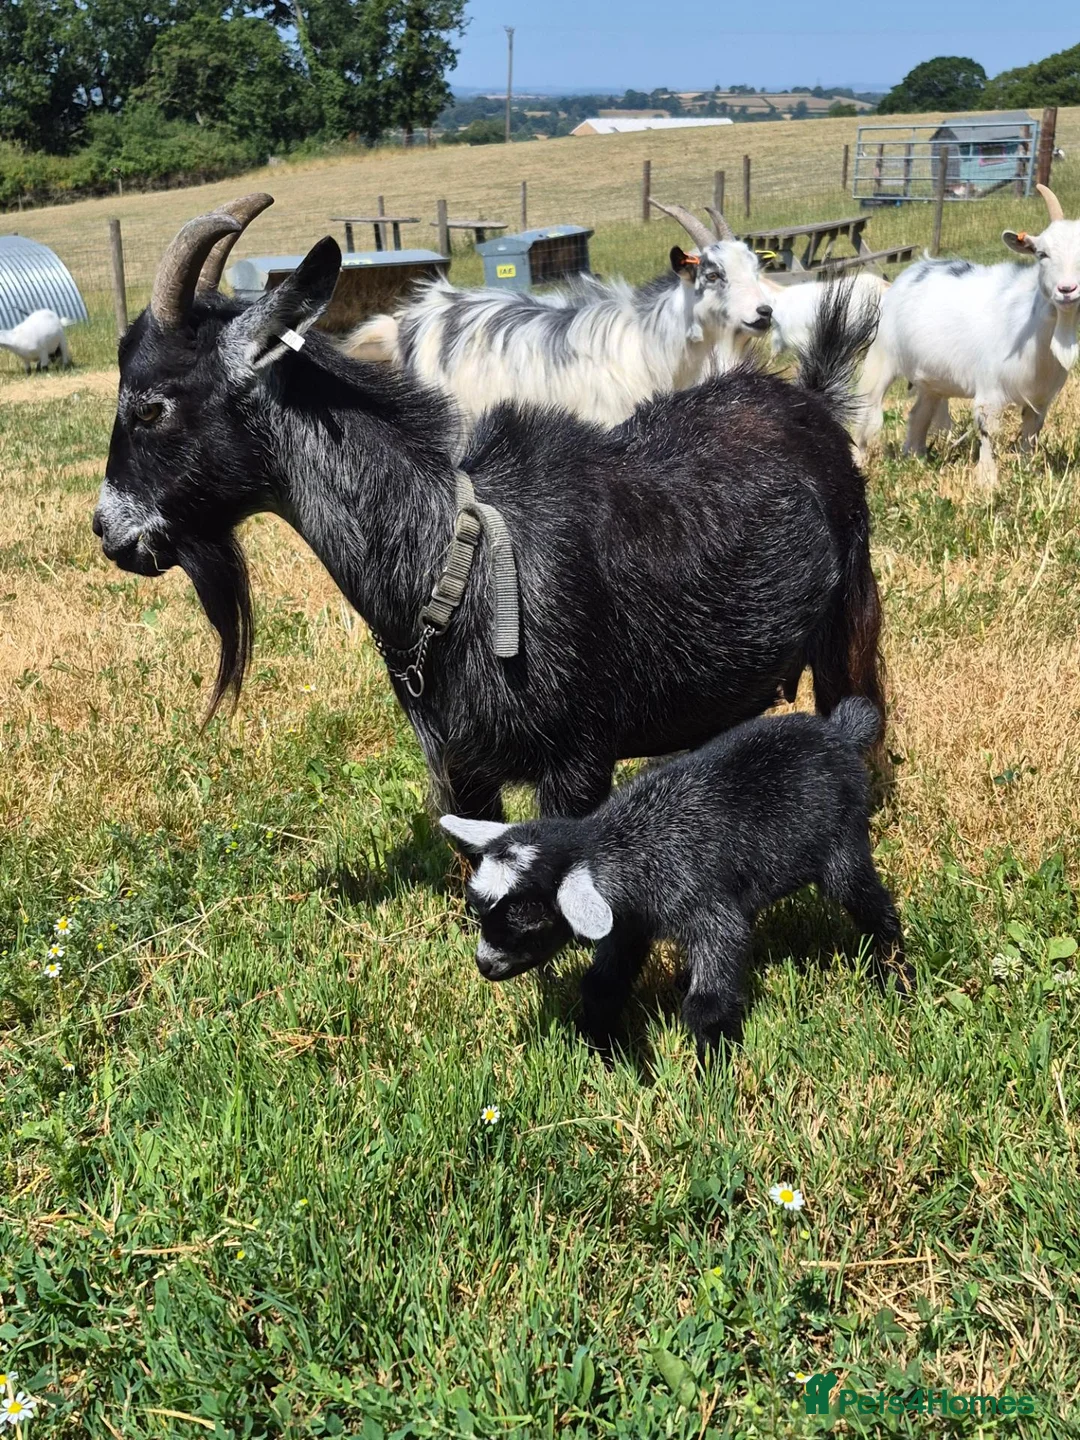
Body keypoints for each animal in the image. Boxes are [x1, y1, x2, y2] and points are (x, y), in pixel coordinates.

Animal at [441, 698, 904, 1058]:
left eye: (531, 917)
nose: (484, 964)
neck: (630, 844)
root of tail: (840, 734)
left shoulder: (704, 909)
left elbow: (708, 1002)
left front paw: (713, 1078)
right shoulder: (628, 925)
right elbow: (602, 984)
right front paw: (602, 1052)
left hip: (842, 843)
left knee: (871, 906)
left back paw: (897, 977)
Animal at [855, 184, 1080, 486]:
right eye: (1042, 254)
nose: (1067, 289)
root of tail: (915, 269)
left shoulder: (1041, 398)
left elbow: (1031, 433)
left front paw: (1027, 471)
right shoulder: (989, 387)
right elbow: (988, 430)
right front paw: (987, 481)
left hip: (931, 379)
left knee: (918, 414)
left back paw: (916, 457)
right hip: (881, 357)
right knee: (867, 408)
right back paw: (859, 460)